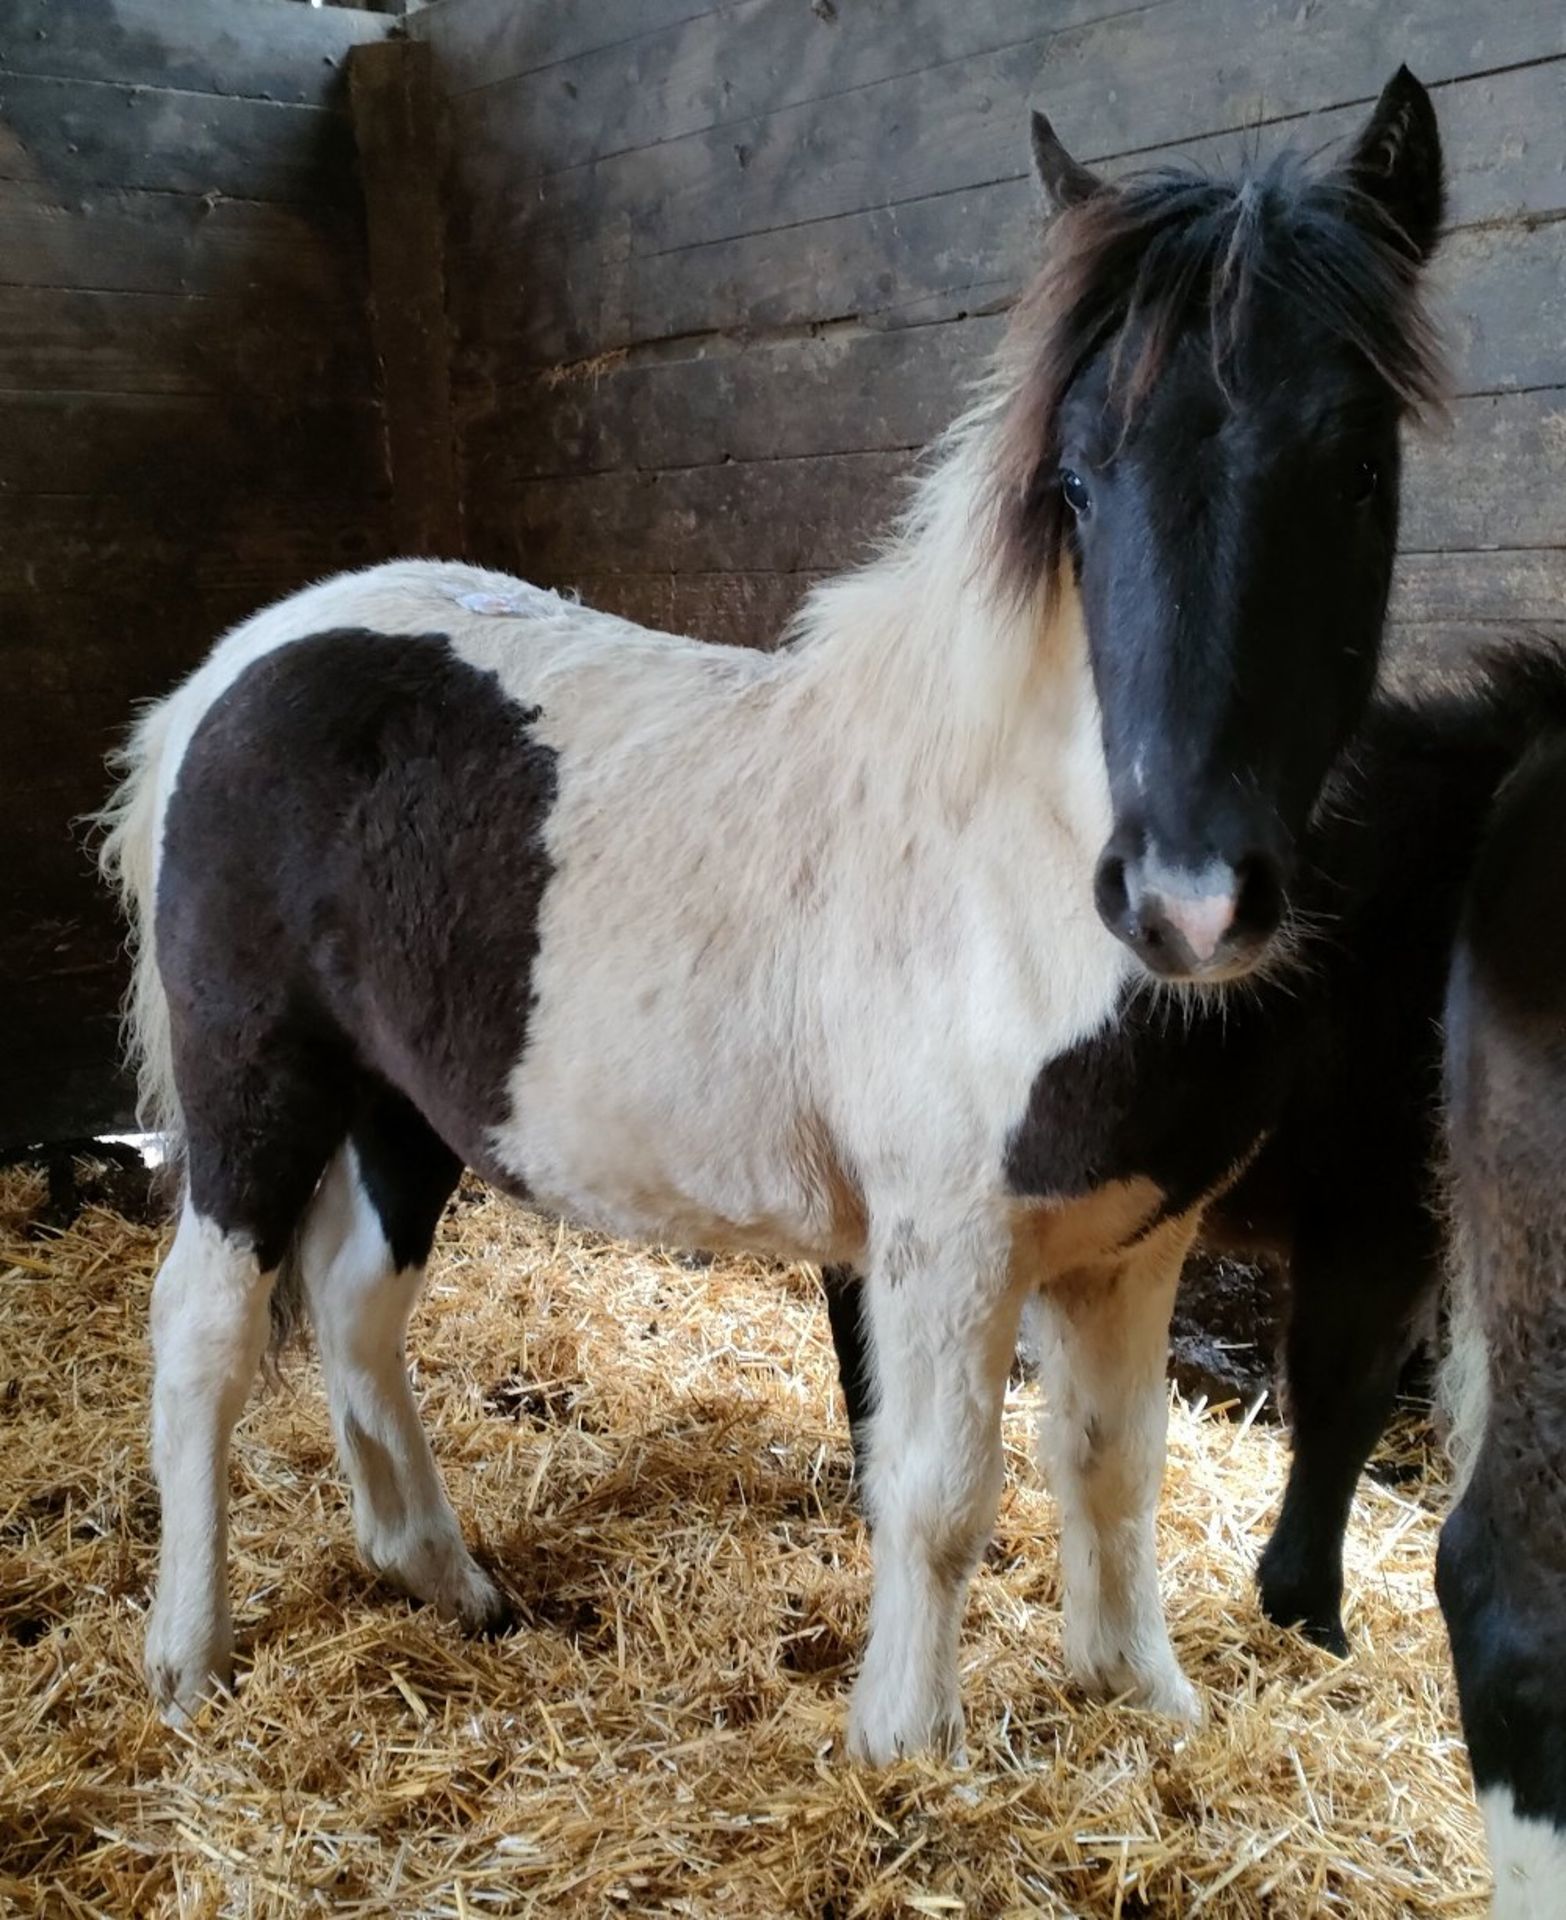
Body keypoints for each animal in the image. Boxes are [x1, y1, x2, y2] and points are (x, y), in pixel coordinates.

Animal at [104, 78, 1458, 1766]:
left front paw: (1140, 1697)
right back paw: (188, 1656)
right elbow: (939, 1498)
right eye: (1076, 484)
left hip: (403, 1104)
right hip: (258, 1083)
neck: (1020, 879)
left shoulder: (1131, 1246)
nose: (1189, 901)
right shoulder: (945, 1246)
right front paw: (907, 1753)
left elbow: (1111, 1473)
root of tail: (243, 664)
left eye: (1357, 471)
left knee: (356, 1312)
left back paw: (445, 1580)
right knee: (203, 1340)